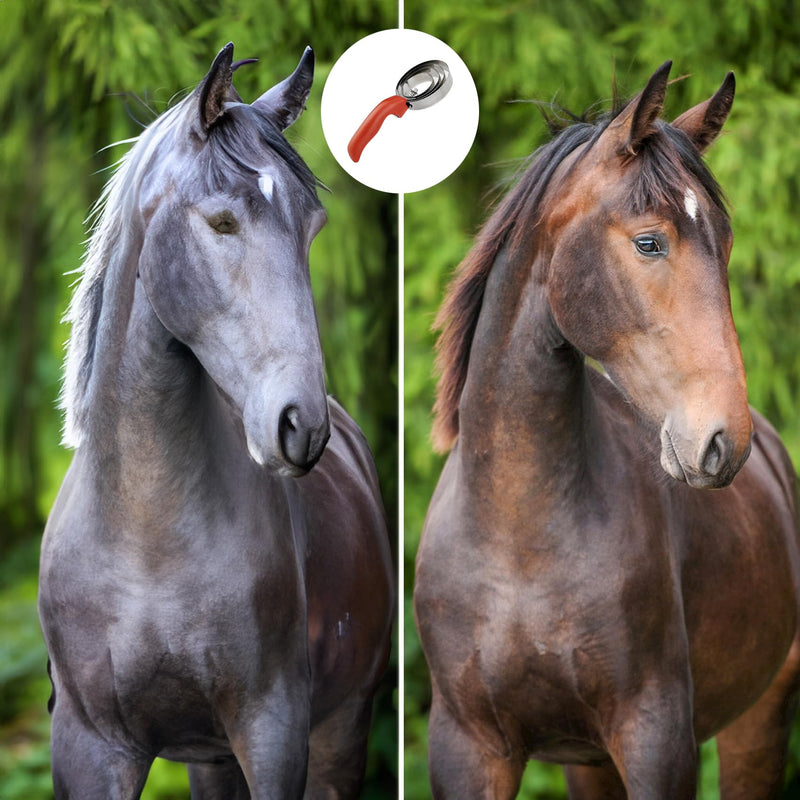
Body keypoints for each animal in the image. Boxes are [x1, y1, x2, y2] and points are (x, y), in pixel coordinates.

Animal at [38, 43, 394, 800]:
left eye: (312, 227)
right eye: (223, 221)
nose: (300, 423)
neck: (147, 537)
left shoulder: (273, 736)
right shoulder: (90, 749)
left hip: (340, 733)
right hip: (208, 757)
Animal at [414, 61, 800, 799]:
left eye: (725, 244)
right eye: (649, 242)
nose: (722, 441)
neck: (519, 535)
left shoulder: (656, 741)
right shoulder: (468, 749)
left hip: (757, 726)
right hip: (590, 765)